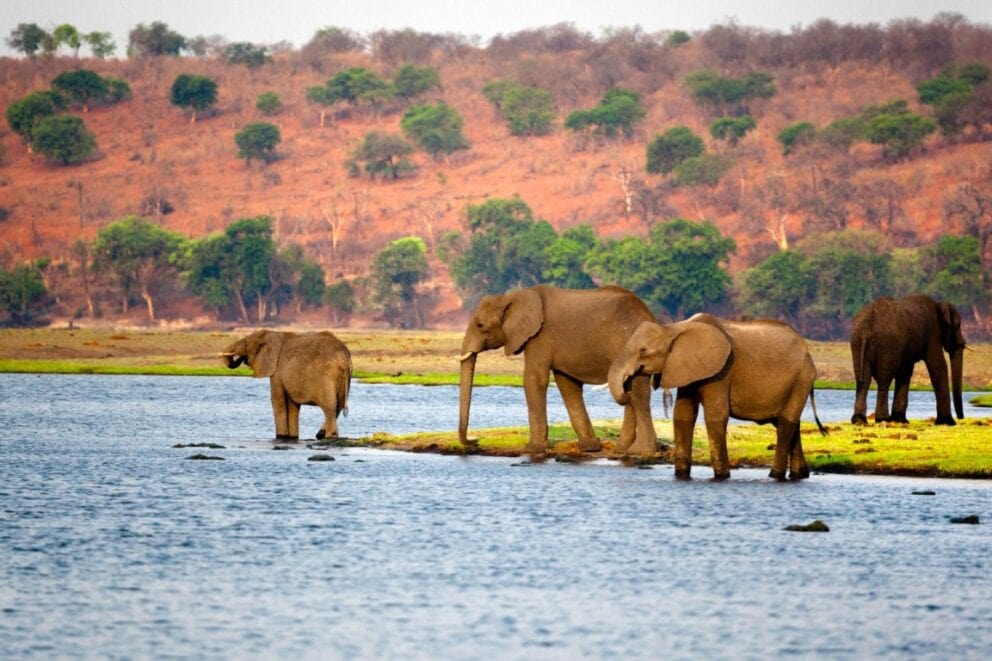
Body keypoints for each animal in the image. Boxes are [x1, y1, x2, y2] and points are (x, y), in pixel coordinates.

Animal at [221, 330, 352, 440]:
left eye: (245, 342)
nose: (240, 359)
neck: (272, 333)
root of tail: (343, 357)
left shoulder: (277, 371)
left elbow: (277, 400)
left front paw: (281, 437)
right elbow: (293, 405)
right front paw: (292, 437)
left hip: (327, 376)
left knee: (330, 407)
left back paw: (329, 436)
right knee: (339, 405)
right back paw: (321, 435)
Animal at [458, 285, 659, 455]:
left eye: (480, 325)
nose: (475, 441)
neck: (512, 297)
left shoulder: (539, 337)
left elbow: (534, 380)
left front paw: (533, 449)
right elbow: (567, 385)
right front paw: (590, 447)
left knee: (638, 394)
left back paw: (641, 451)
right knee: (630, 390)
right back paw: (623, 449)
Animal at [608, 315, 826, 481]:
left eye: (643, 350)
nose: (628, 385)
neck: (674, 328)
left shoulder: (721, 371)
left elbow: (715, 416)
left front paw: (722, 476)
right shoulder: (686, 368)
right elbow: (683, 415)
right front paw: (681, 475)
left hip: (802, 377)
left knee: (786, 424)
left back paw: (775, 475)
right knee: (788, 423)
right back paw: (800, 475)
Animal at [850, 294, 966, 426]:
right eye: (958, 326)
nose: (961, 417)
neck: (938, 304)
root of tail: (867, 326)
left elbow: (905, 372)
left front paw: (900, 419)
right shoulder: (932, 333)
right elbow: (938, 366)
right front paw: (948, 422)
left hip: (858, 341)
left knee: (863, 380)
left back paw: (859, 420)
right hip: (888, 344)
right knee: (883, 379)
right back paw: (882, 419)